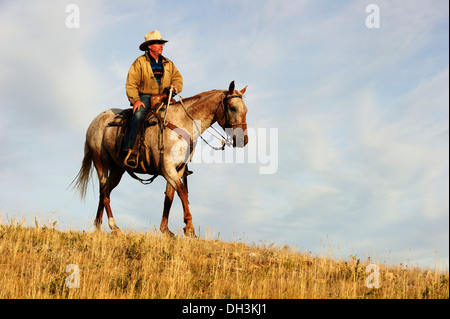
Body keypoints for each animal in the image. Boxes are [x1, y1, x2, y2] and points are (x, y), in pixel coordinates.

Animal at [72, 82, 248, 238]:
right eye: (233, 108)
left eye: (245, 110)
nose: (243, 140)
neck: (181, 123)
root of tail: (94, 122)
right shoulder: (167, 168)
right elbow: (182, 192)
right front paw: (189, 227)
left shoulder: (178, 170)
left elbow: (169, 197)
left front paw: (165, 230)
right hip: (100, 163)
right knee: (104, 191)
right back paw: (114, 227)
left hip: (117, 169)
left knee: (105, 191)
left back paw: (98, 225)